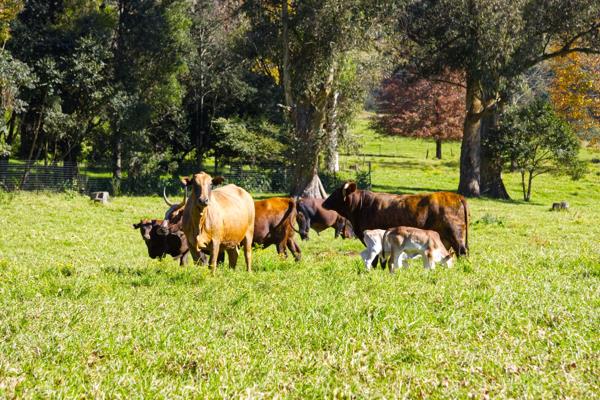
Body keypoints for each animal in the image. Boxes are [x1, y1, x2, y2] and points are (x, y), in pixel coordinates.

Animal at [322, 182, 469, 257]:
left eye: (335, 193)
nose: (323, 203)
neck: (361, 206)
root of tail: (456, 196)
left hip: (456, 235)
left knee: (462, 252)